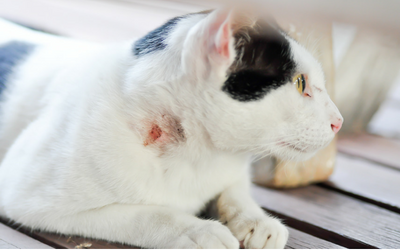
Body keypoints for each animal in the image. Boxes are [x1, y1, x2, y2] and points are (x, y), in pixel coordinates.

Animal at [0, 8, 344, 249]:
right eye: (300, 84)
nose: (338, 121)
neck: (201, 154)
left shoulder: (232, 169)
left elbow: (235, 189)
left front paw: (256, 221)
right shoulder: (22, 194)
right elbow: (146, 213)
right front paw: (198, 230)